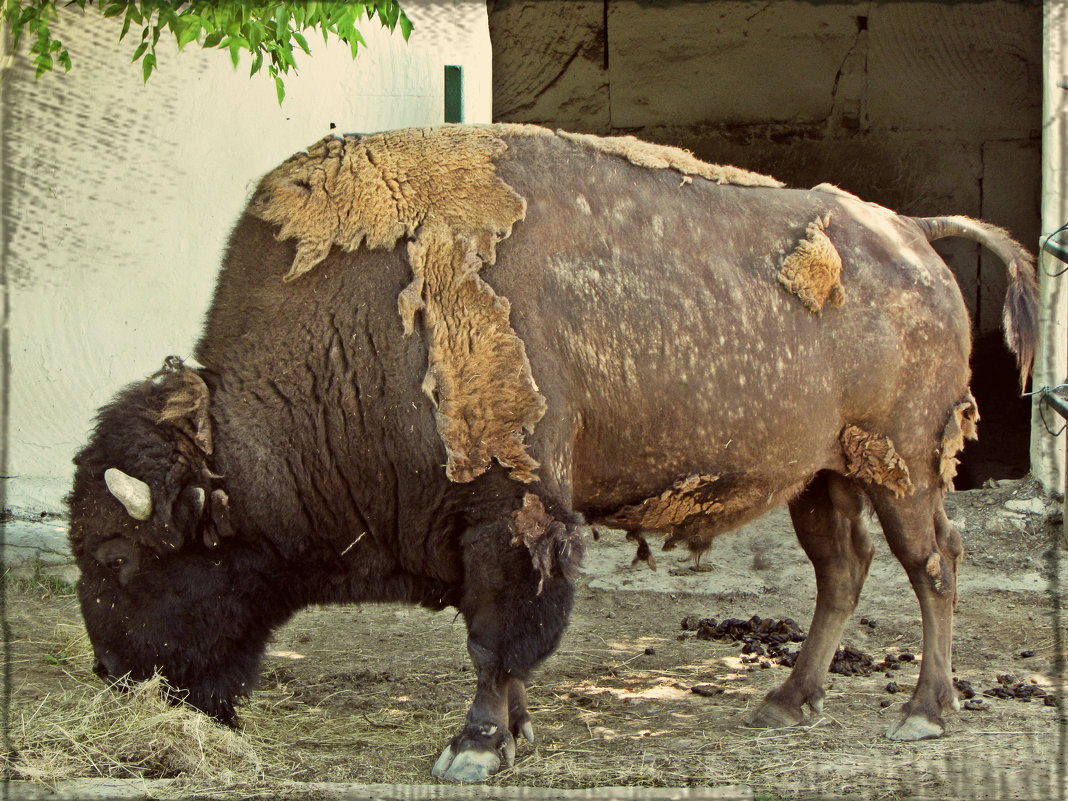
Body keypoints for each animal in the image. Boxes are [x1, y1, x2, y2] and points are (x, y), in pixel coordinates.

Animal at [66, 125, 1033, 786]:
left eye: (119, 557)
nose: (112, 675)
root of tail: (912, 233)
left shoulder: (513, 516)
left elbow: (497, 636)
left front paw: (473, 747)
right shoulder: (486, 530)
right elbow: (497, 635)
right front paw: (517, 732)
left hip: (903, 465)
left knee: (932, 564)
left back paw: (924, 713)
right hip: (822, 474)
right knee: (844, 569)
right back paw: (787, 701)